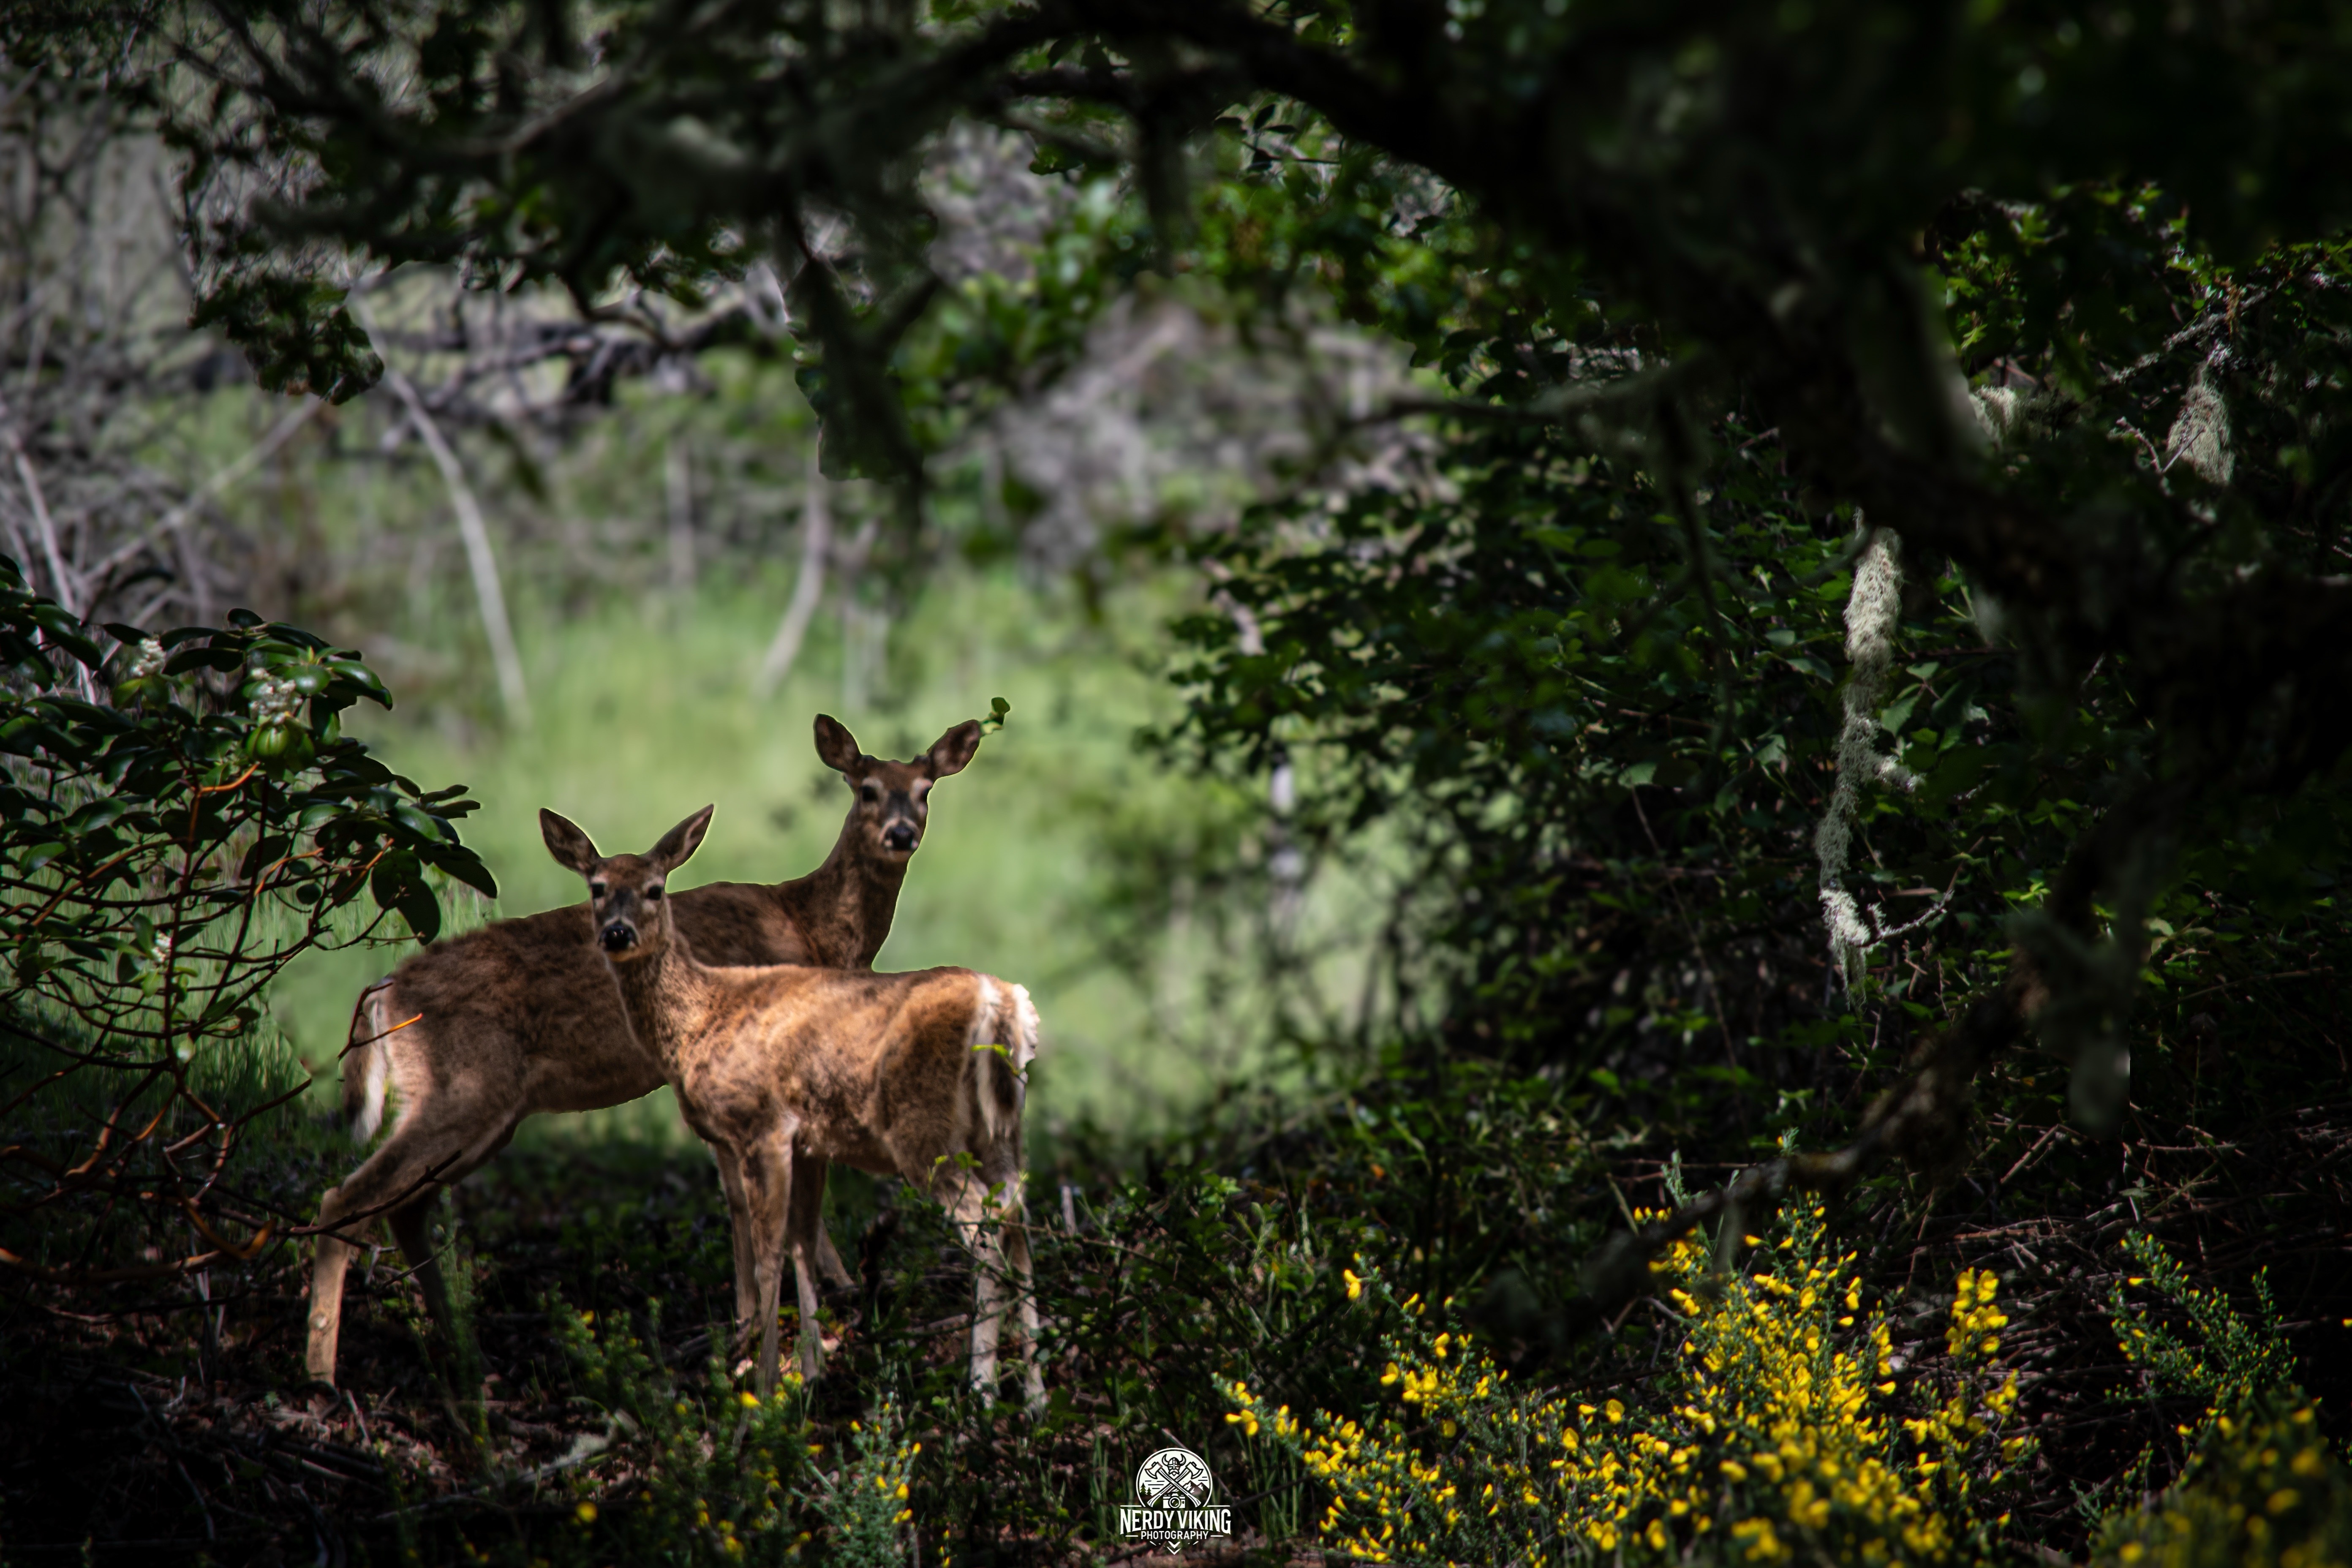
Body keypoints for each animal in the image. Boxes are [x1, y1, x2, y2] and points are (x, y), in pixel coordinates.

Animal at [304, 715, 982, 1386]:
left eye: (925, 790)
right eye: (866, 789)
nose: (901, 833)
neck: (812, 927)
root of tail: (385, 990)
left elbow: (740, 1202)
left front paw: (748, 1326)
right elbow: (779, 1210)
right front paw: (819, 1306)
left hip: (482, 1114)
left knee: (405, 1210)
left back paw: (467, 1358)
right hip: (460, 1088)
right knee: (346, 1200)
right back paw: (323, 1378)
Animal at [543, 803, 1045, 1407]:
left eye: (655, 889)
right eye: (596, 888)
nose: (617, 933)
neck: (698, 1019)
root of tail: (1001, 1003)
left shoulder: (762, 1126)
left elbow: (769, 1259)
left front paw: (762, 1390)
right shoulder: (809, 1142)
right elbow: (803, 1245)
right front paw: (810, 1374)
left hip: (925, 1131)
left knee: (986, 1230)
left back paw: (982, 1391)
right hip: (1002, 1132)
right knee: (1019, 1219)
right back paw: (1036, 1397)